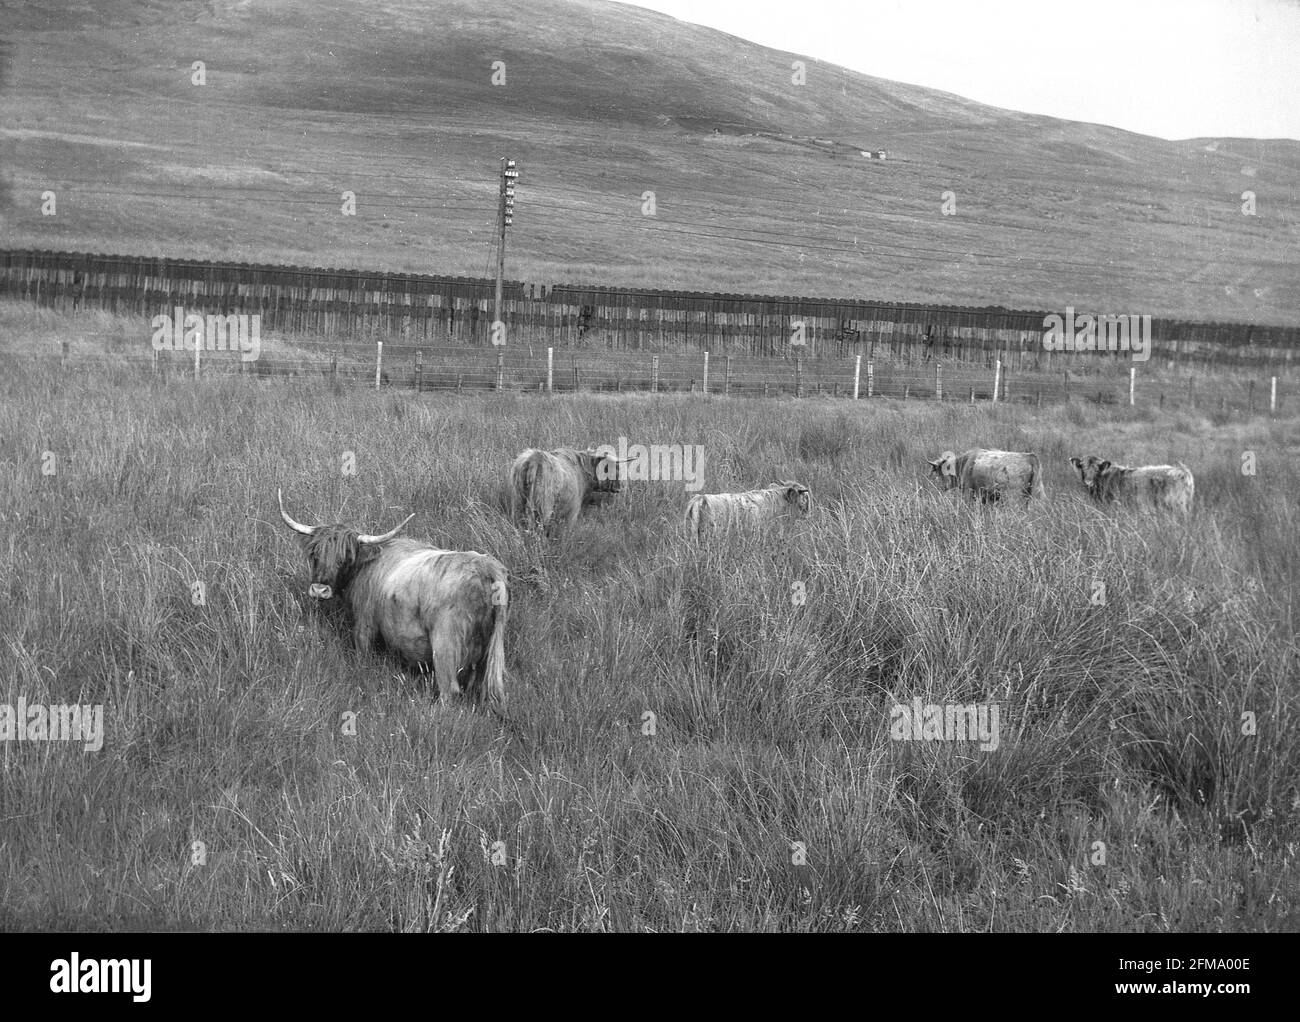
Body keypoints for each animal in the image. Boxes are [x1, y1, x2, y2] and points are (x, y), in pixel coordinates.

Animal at [279, 488, 506, 707]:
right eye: (315, 554)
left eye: (345, 558)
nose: (319, 589)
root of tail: (485, 568)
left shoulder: (365, 624)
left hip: (445, 644)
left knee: (449, 690)